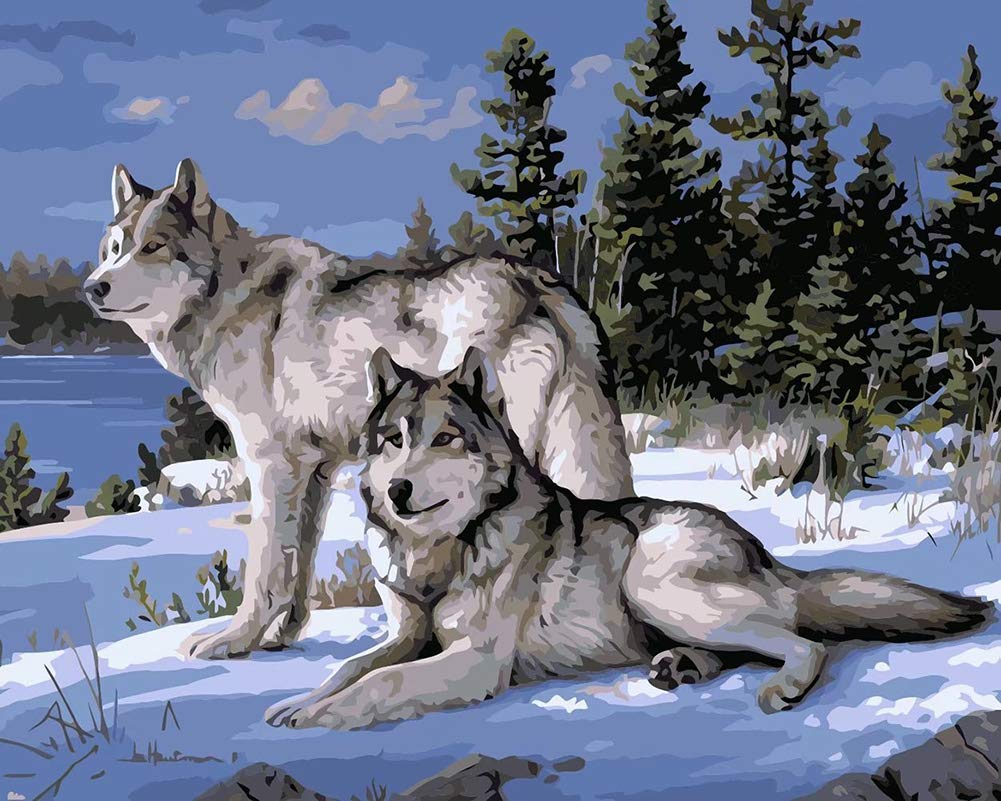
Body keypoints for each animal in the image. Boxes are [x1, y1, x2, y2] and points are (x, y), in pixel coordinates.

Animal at [83, 158, 634, 660]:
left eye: (152, 247)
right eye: (113, 250)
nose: (93, 287)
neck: (226, 299)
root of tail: (538, 281)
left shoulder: (271, 467)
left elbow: (265, 570)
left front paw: (233, 642)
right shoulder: (316, 471)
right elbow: (299, 568)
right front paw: (279, 640)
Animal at [264, 351, 992, 730]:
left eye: (445, 438)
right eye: (392, 441)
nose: (397, 491)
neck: (439, 555)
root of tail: (763, 551)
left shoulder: (474, 660)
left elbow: (380, 683)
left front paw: (318, 716)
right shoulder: (405, 635)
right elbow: (349, 667)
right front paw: (296, 700)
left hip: (652, 582)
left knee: (805, 644)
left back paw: (779, 688)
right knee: (751, 645)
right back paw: (682, 666)